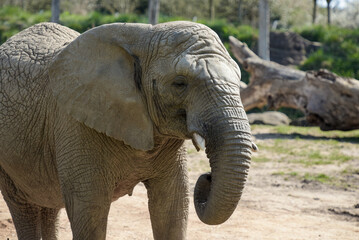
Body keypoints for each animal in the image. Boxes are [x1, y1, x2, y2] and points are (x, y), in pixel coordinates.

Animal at [0, 21, 258, 240]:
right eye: (180, 83)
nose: (207, 176)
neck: (145, 35)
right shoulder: (76, 124)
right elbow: (90, 210)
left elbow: (172, 207)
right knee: (23, 206)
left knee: (49, 207)